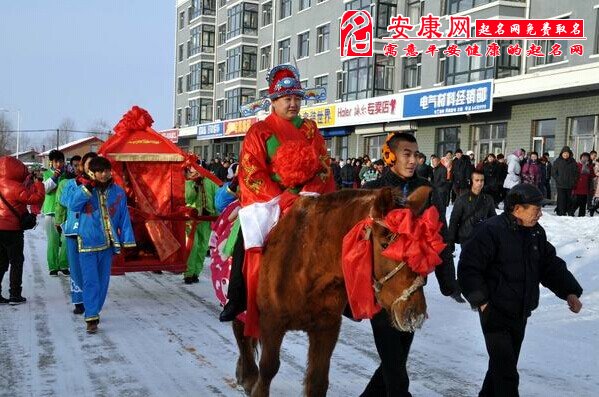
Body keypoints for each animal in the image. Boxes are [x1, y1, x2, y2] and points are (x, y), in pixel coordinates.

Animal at [234, 186, 436, 396]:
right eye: (385, 244)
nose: (414, 313)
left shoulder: (327, 327)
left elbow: (317, 381)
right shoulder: (272, 322)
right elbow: (268, 369)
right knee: (240, 331)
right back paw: (248, 374)